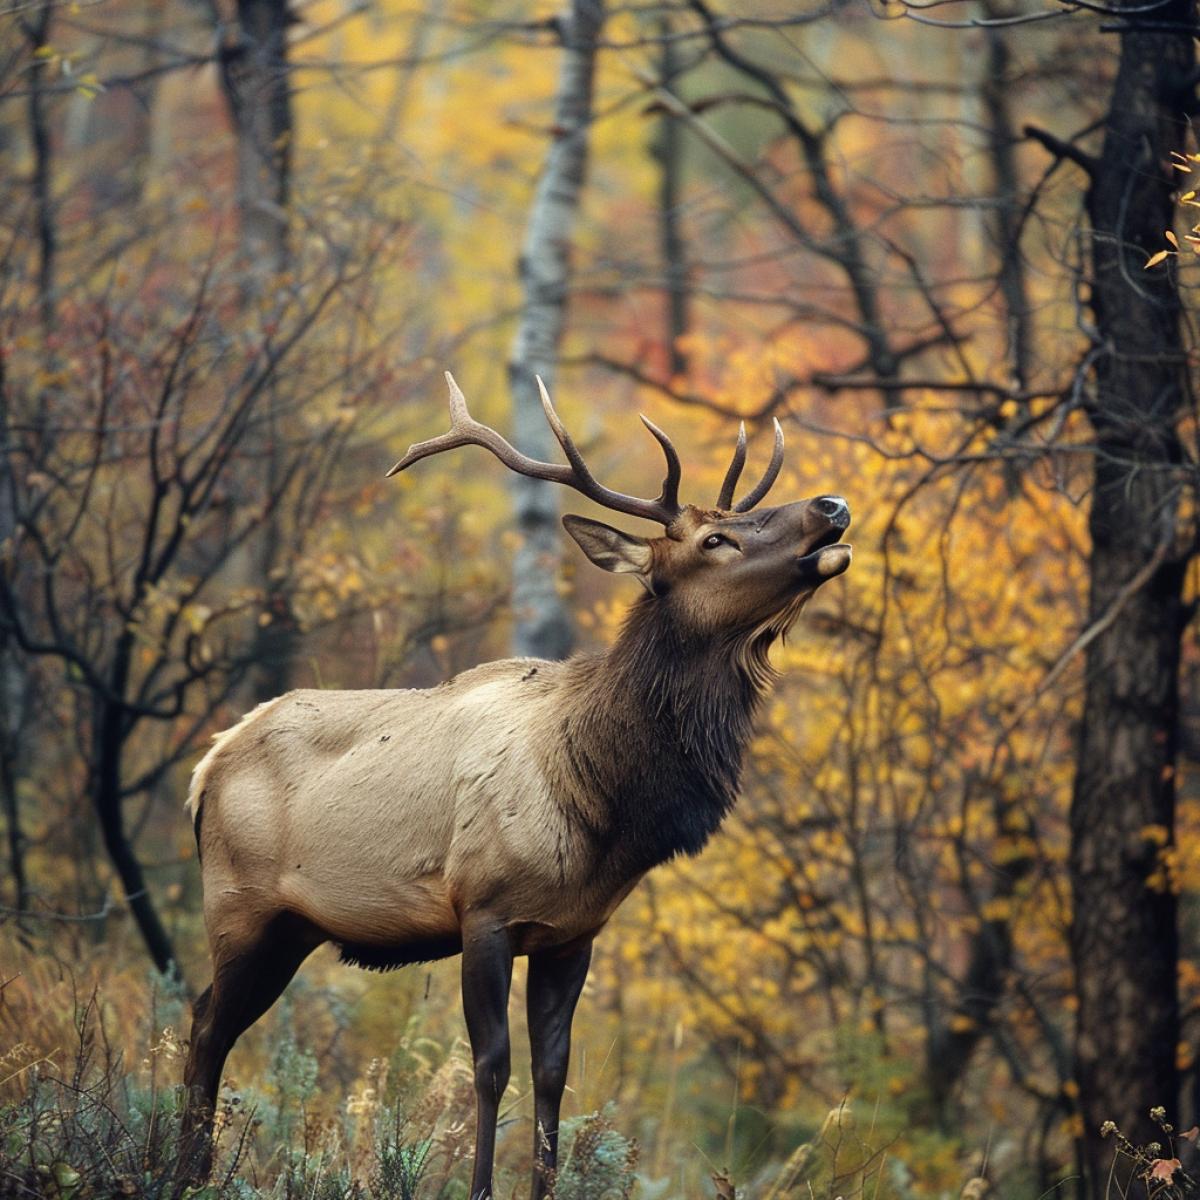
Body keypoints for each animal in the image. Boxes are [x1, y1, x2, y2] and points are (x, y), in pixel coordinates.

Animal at [178, 372, 851, 1200]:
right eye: (712, 540)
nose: (830, 506)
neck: (601, 803)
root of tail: (206, 767)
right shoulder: (484, 909)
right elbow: (492, 1068)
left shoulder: (573, 933)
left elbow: (553, 1075)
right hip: (238, 907)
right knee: (207, 1029)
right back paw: (185, 1172)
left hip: (290, 929)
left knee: (206, 1019)